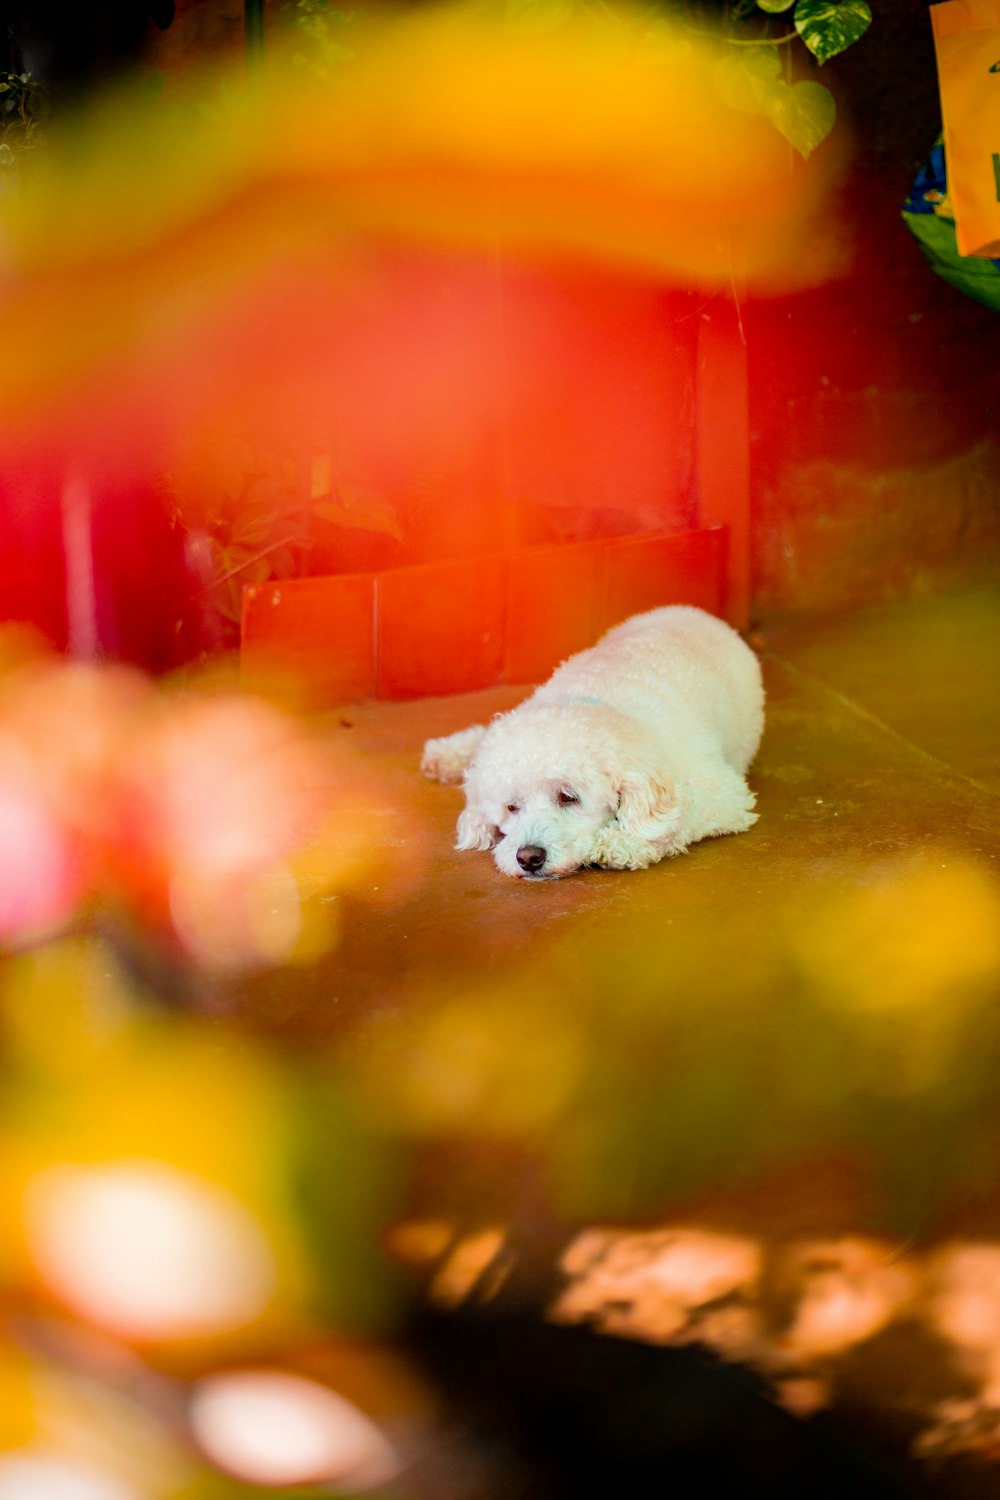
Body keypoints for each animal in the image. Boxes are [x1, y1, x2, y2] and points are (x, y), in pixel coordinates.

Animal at [422, 603, 767, 876]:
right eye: (512, 806)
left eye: (568, 797)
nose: (529, 858)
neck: (594, 698)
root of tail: (692, 611)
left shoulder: (724, 793)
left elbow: (679, 819)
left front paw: (622, 844)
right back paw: (446, 754)